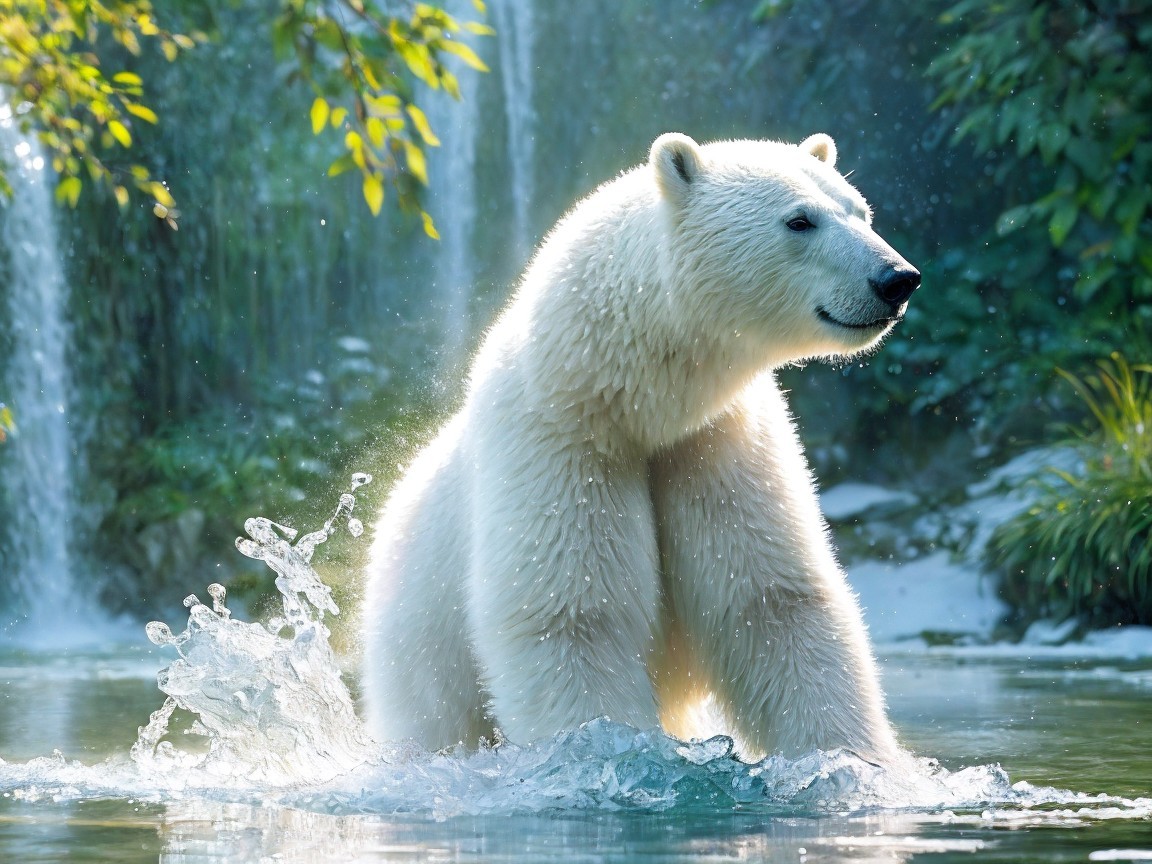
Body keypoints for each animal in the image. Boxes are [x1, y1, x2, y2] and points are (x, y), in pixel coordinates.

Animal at [362, 132, 919, 764]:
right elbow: (573, 614)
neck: (640, 403)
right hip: (419, 644)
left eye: (861, 211)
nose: (897, 278)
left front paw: (858, 763)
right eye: (800, 220)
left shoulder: (718, 443)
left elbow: (774, 606)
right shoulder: (558, 440)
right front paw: (615, 757)